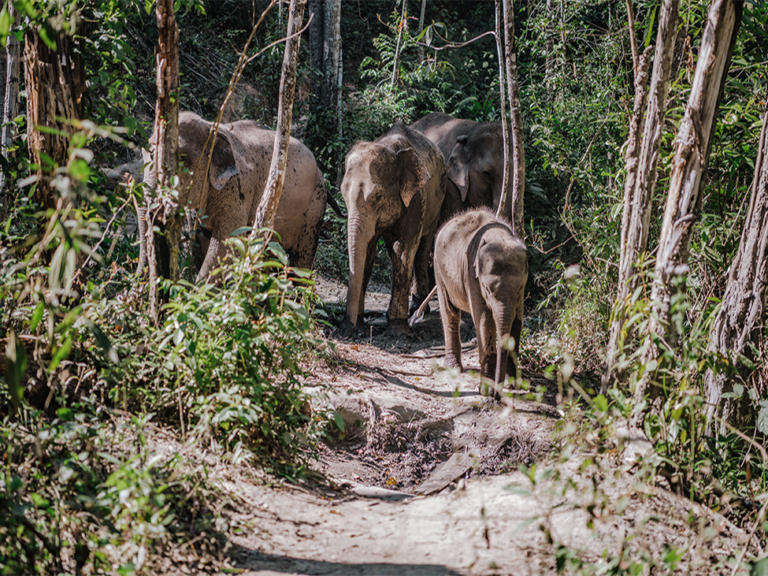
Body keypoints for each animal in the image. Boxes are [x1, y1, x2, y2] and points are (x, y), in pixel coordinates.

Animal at [140, 110, 342, 282]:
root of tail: (322, 177)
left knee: (302, 261)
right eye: (149, 153)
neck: (212, 126)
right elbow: (198, 243)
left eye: (179, 159)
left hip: (314, 210)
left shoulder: (238, 188)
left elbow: (225, 245)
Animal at [340, 122, 444, 338]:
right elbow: (368, 251)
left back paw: (418, 309)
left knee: (421, 249)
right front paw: (360, 324)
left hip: (436, 203)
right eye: (343, 194)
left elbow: (403, 251)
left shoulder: (416, 198)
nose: (345, 330)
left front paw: (397, 329)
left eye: (378, 196)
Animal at [432, 207, 528, 396]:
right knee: (450, 313)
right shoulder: (471, 275)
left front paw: (512, 384)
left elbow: (517, 322)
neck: (498, 235)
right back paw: (453, 367)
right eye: (487, 288)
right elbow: (484, 321)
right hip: (439, 271)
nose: (497, 395)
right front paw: (486, 390)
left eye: (520, 288)